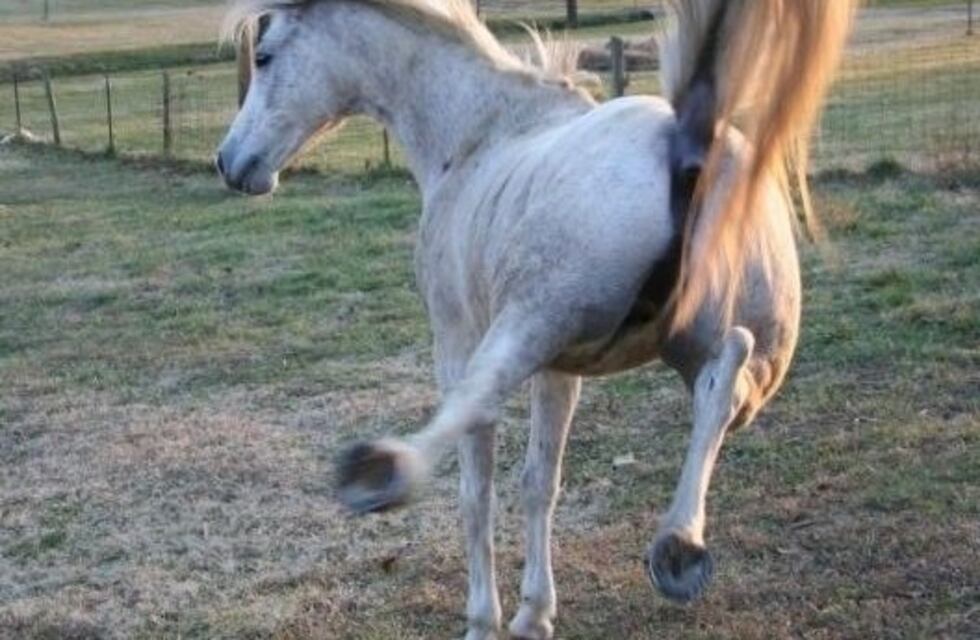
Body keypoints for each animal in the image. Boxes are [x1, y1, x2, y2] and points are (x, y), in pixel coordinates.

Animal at [216, 1, 856, 638]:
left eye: (264, 56)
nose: (228, 161)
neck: (479, 133)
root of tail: (690, 147)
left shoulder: (461, 340)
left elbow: (478, 483)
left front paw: (485, 618)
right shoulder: (561, 368)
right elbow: (539, 482)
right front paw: (534, 612)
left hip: (528, 324)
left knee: (478, 407)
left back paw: (381, 472)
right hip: (737, 357)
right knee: (724, 383)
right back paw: (678, 546)